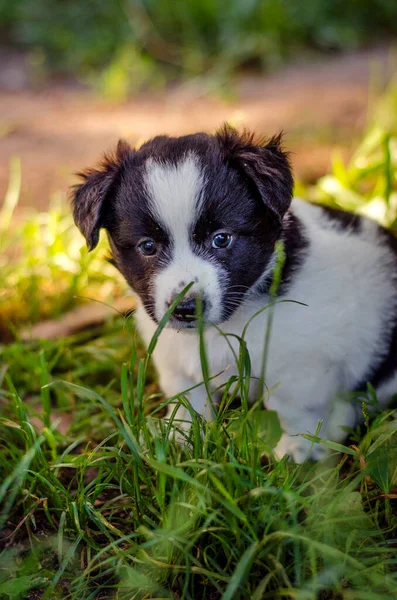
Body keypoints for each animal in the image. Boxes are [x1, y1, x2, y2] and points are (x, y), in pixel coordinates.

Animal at [71, 126, 396, 462]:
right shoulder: (174, 359)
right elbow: (188, 401)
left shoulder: (301, 367)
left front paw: (296, 452)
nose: (186, 309)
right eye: (147, 246)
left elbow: (294, 410)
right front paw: (181, 440)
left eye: (221, 239)